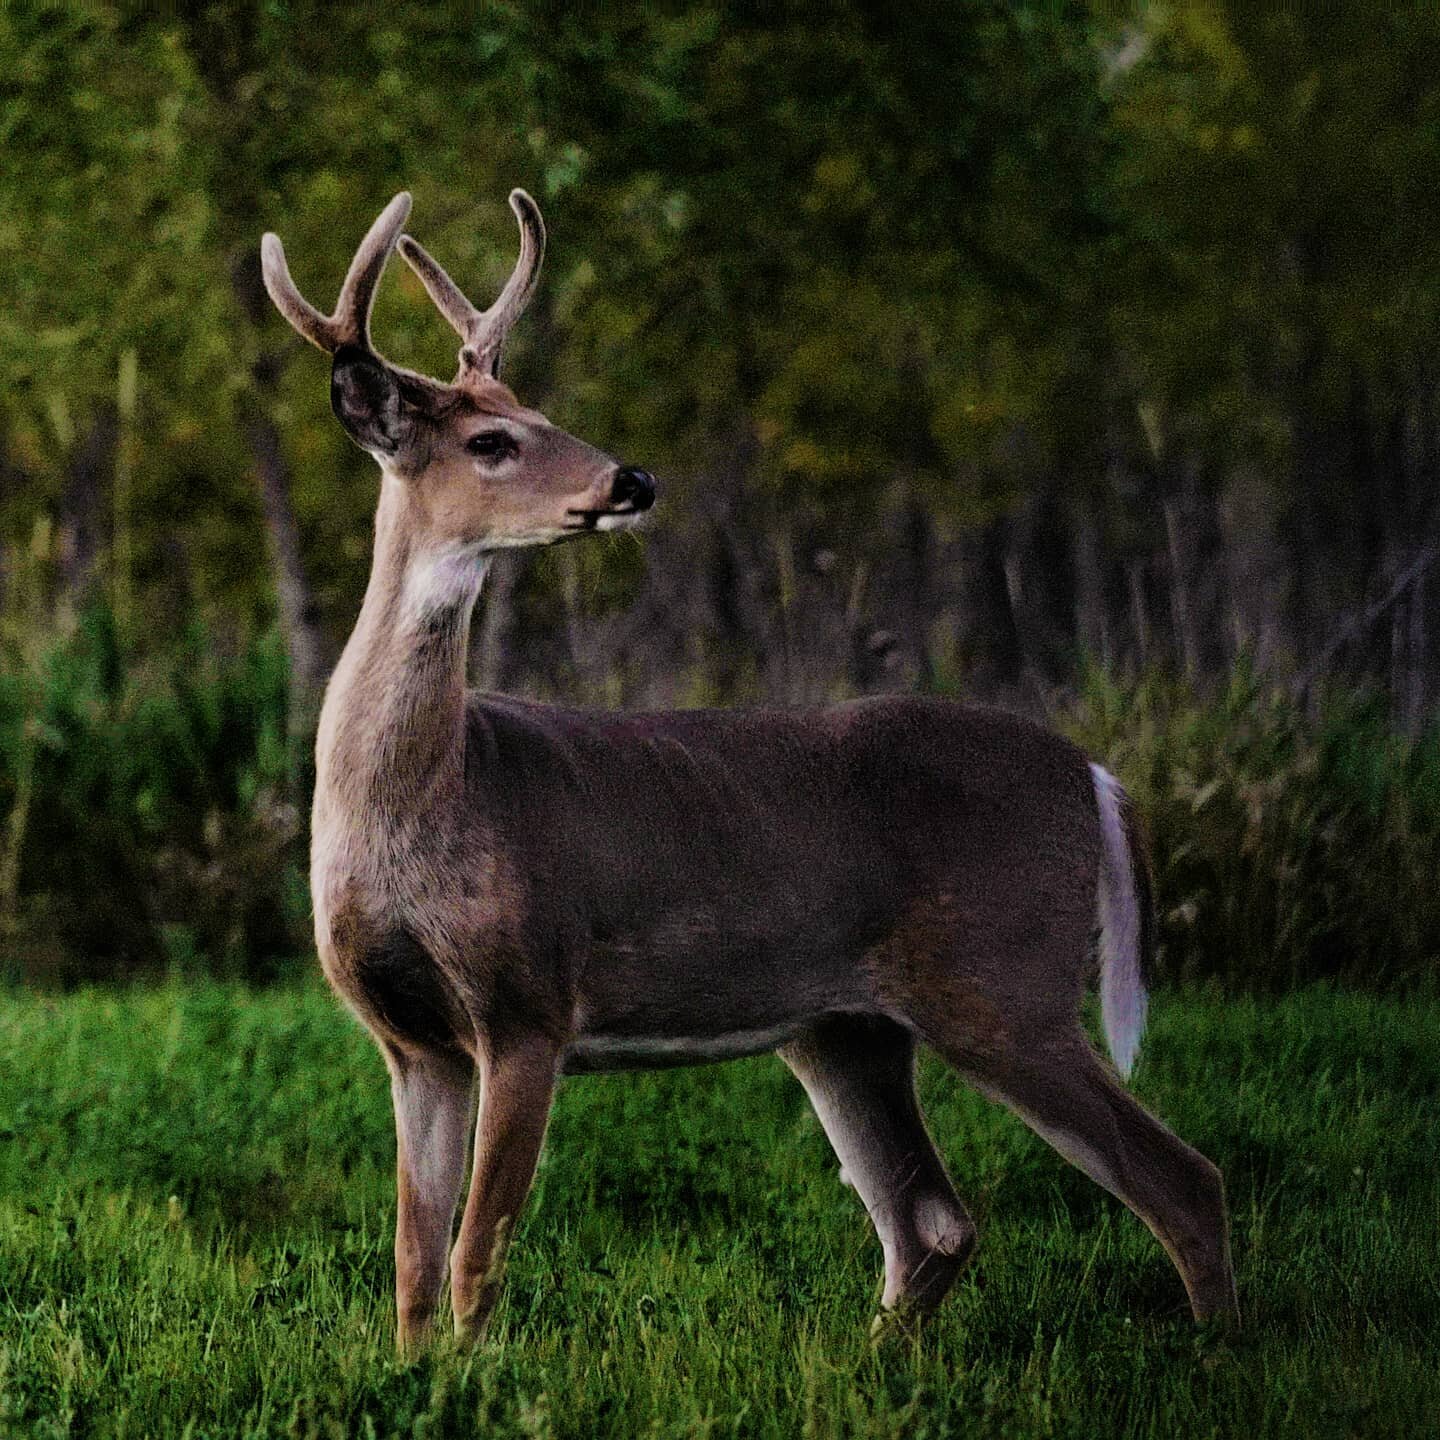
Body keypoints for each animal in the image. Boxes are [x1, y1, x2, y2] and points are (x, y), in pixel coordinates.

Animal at [259, 188, 1238, 1347]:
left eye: (539, 413)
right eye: (492, 438)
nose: (630, 479)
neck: (433, 795)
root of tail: (1095, 773)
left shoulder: (532, 998)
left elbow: (473, 1258)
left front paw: (473, 1373)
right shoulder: (414, 1041)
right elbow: (413, 1262)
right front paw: (416, 1373)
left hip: (1004, 975)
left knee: (1178, 1178)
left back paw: (1220, 1355)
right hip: (845, 1027)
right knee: (932, 1219)